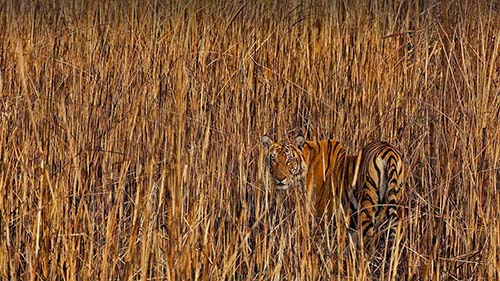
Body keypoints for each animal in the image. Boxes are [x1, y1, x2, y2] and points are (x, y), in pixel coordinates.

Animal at [264, 133, 404, 252]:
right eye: (274, 160)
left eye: (289, 160)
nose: (280, 179)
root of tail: (389, 151)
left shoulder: (324, 214)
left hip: (367, 207)